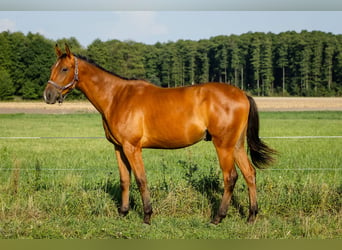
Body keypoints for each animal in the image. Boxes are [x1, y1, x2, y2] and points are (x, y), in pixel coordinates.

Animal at [44, 43, 276, 225]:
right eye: (52, 68)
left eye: (64, 69)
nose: (48, 95)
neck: (117, 97)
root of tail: (242, 94)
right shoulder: (119, 147)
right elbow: (125, 180)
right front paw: (123, 213)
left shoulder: (132, 147)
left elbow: (141, 179)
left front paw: (147, 216)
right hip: (236, 145)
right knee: (249, 174)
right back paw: (251, 216)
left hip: (223, 145)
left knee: (230, 177)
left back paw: (218, 218)